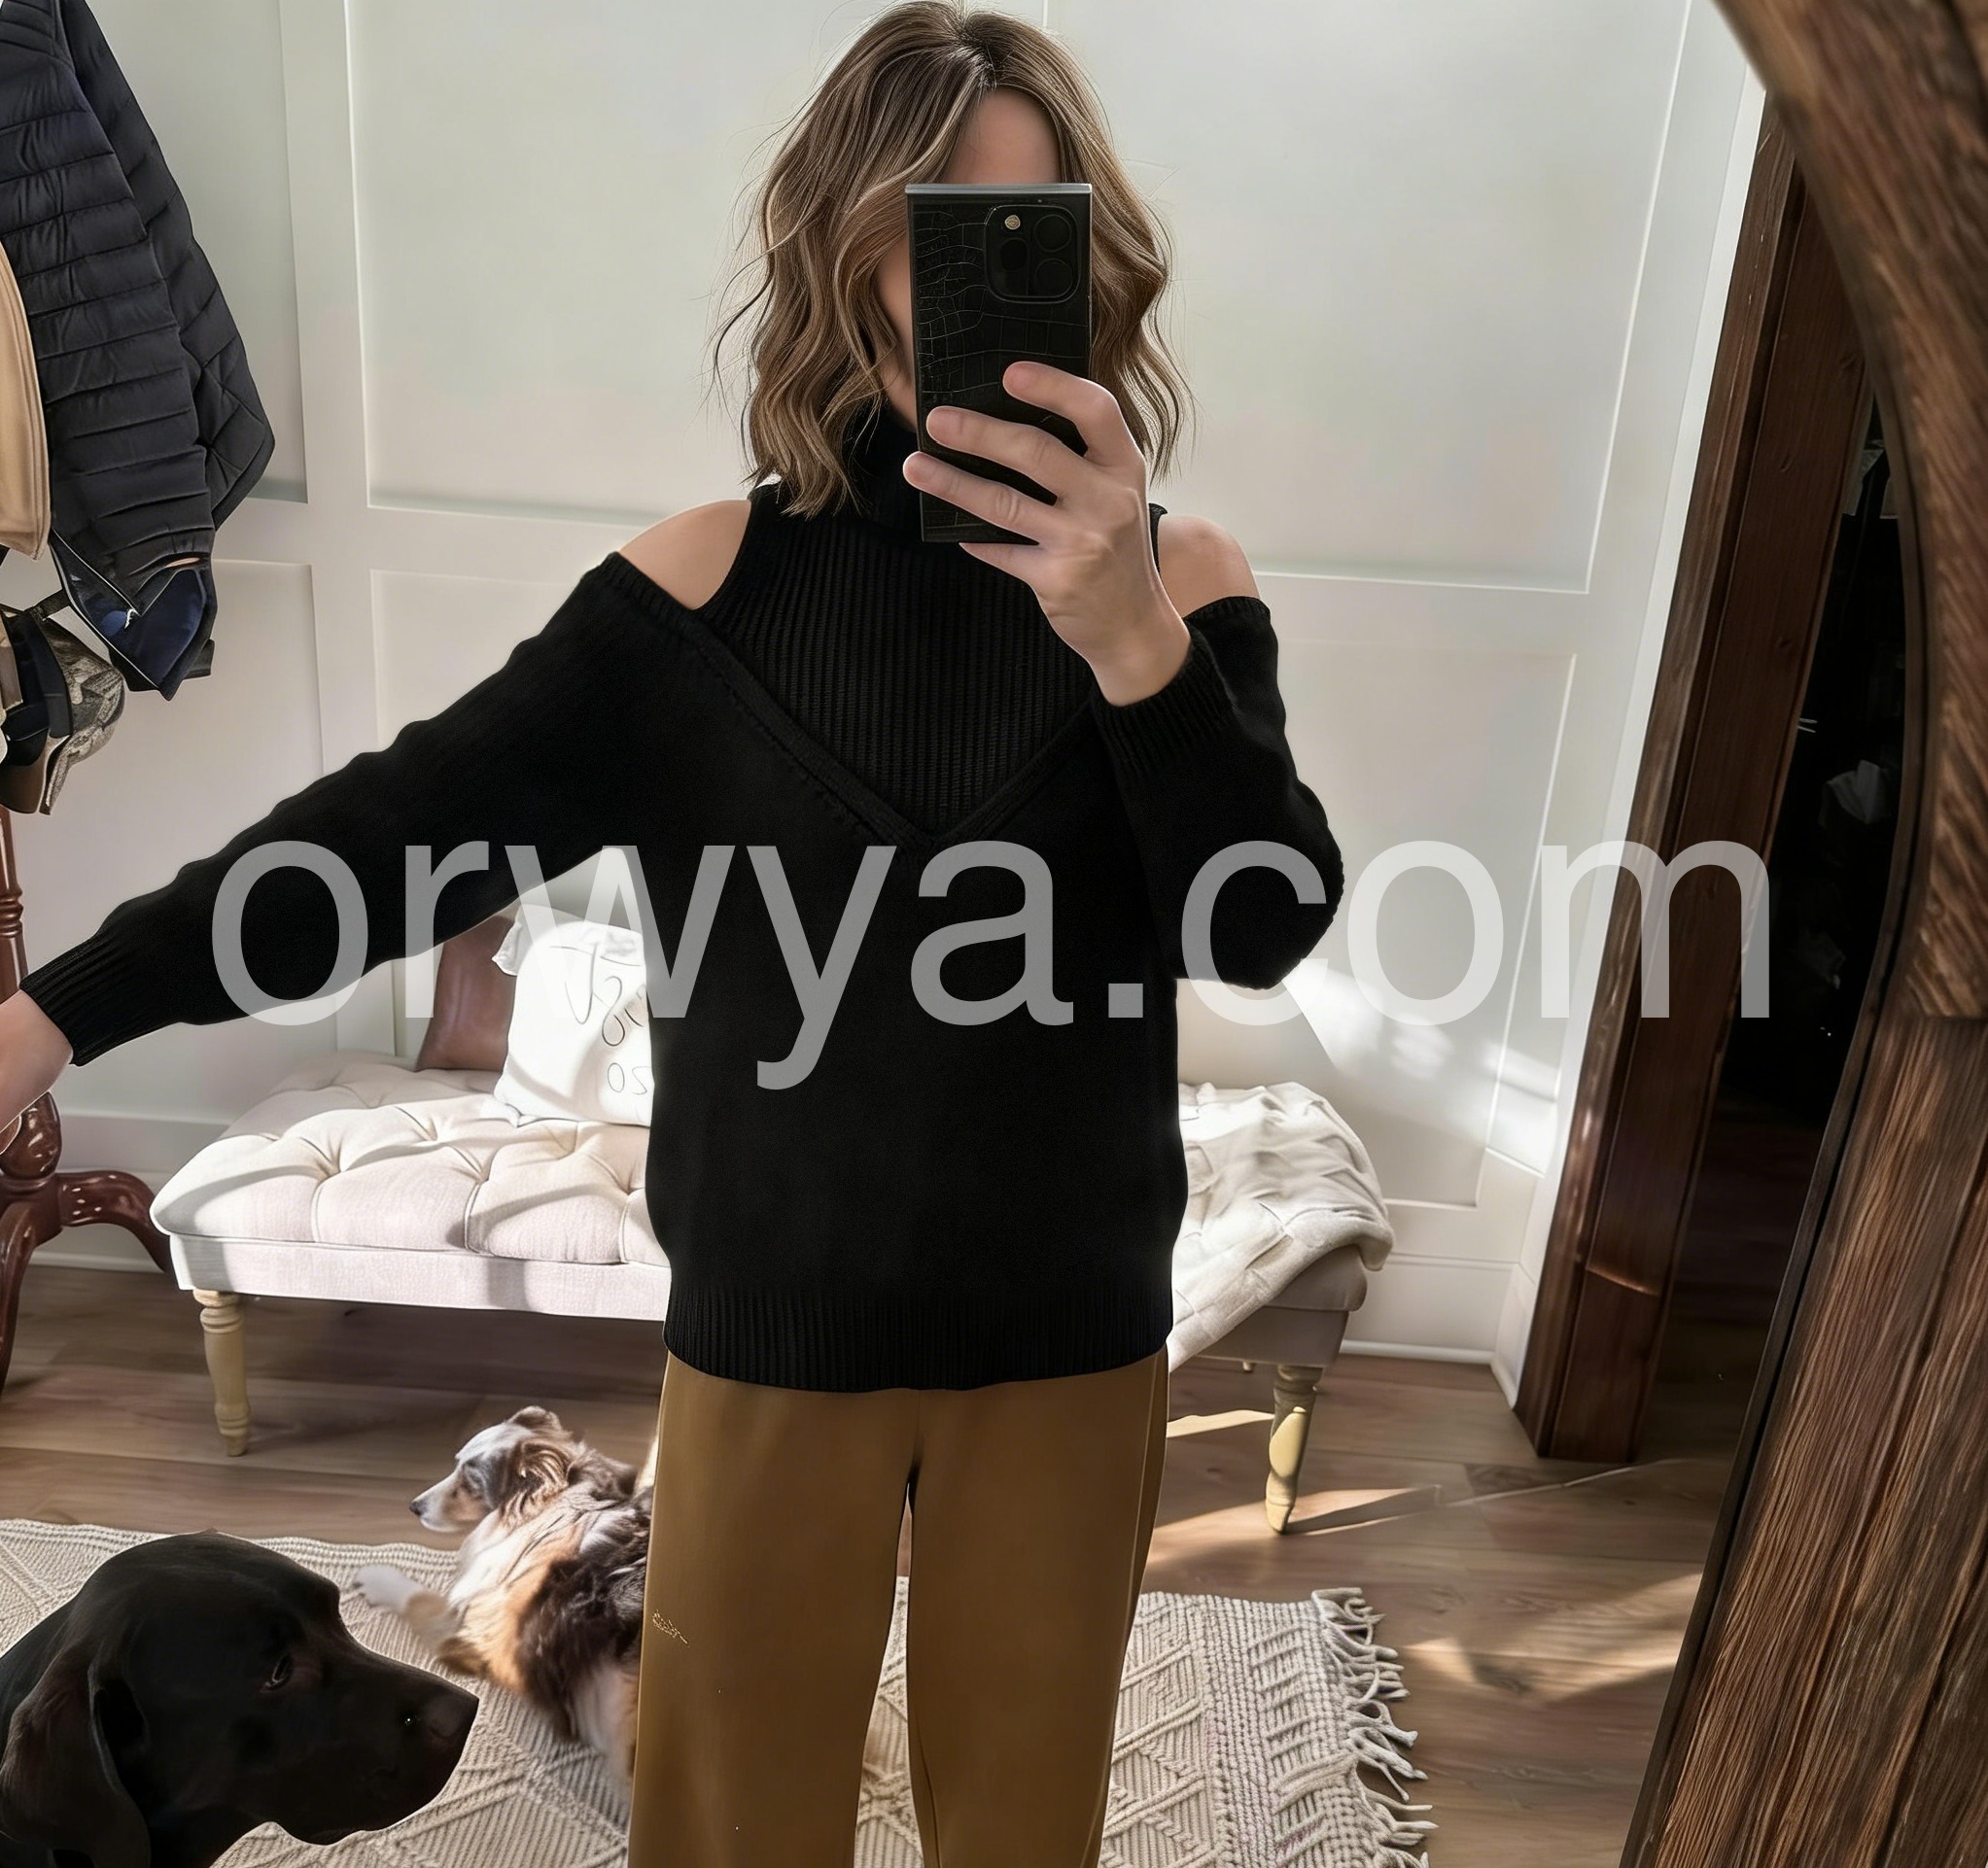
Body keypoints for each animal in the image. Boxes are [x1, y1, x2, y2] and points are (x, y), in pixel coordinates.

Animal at [356, 1406, 651, 1780]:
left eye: (471, 1482)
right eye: (456, 1465)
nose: (414, 1507)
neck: (548, 1512)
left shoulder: (466, 1631)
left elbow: (417, 1596)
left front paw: (374, 1576)